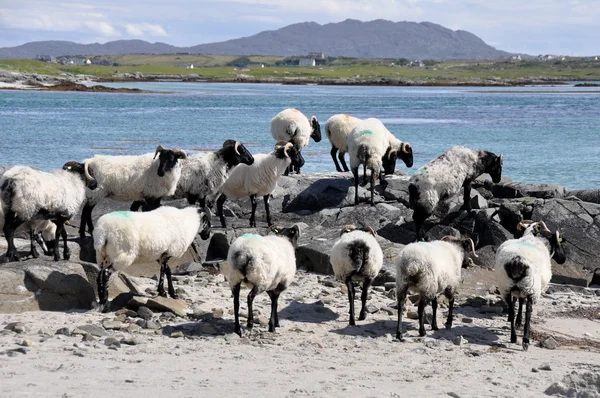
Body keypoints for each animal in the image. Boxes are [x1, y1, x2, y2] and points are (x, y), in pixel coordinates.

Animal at [494, 219, 564, 350]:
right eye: (558, 242)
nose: (563, 259)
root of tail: (517, 261)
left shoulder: (518, 290)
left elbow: (518, 304)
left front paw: (517, 321)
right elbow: (526, 309)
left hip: (506, 287)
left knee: (512, 309)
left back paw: (513, 337)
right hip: (531, 289)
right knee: (528, 312)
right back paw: (525, 340)